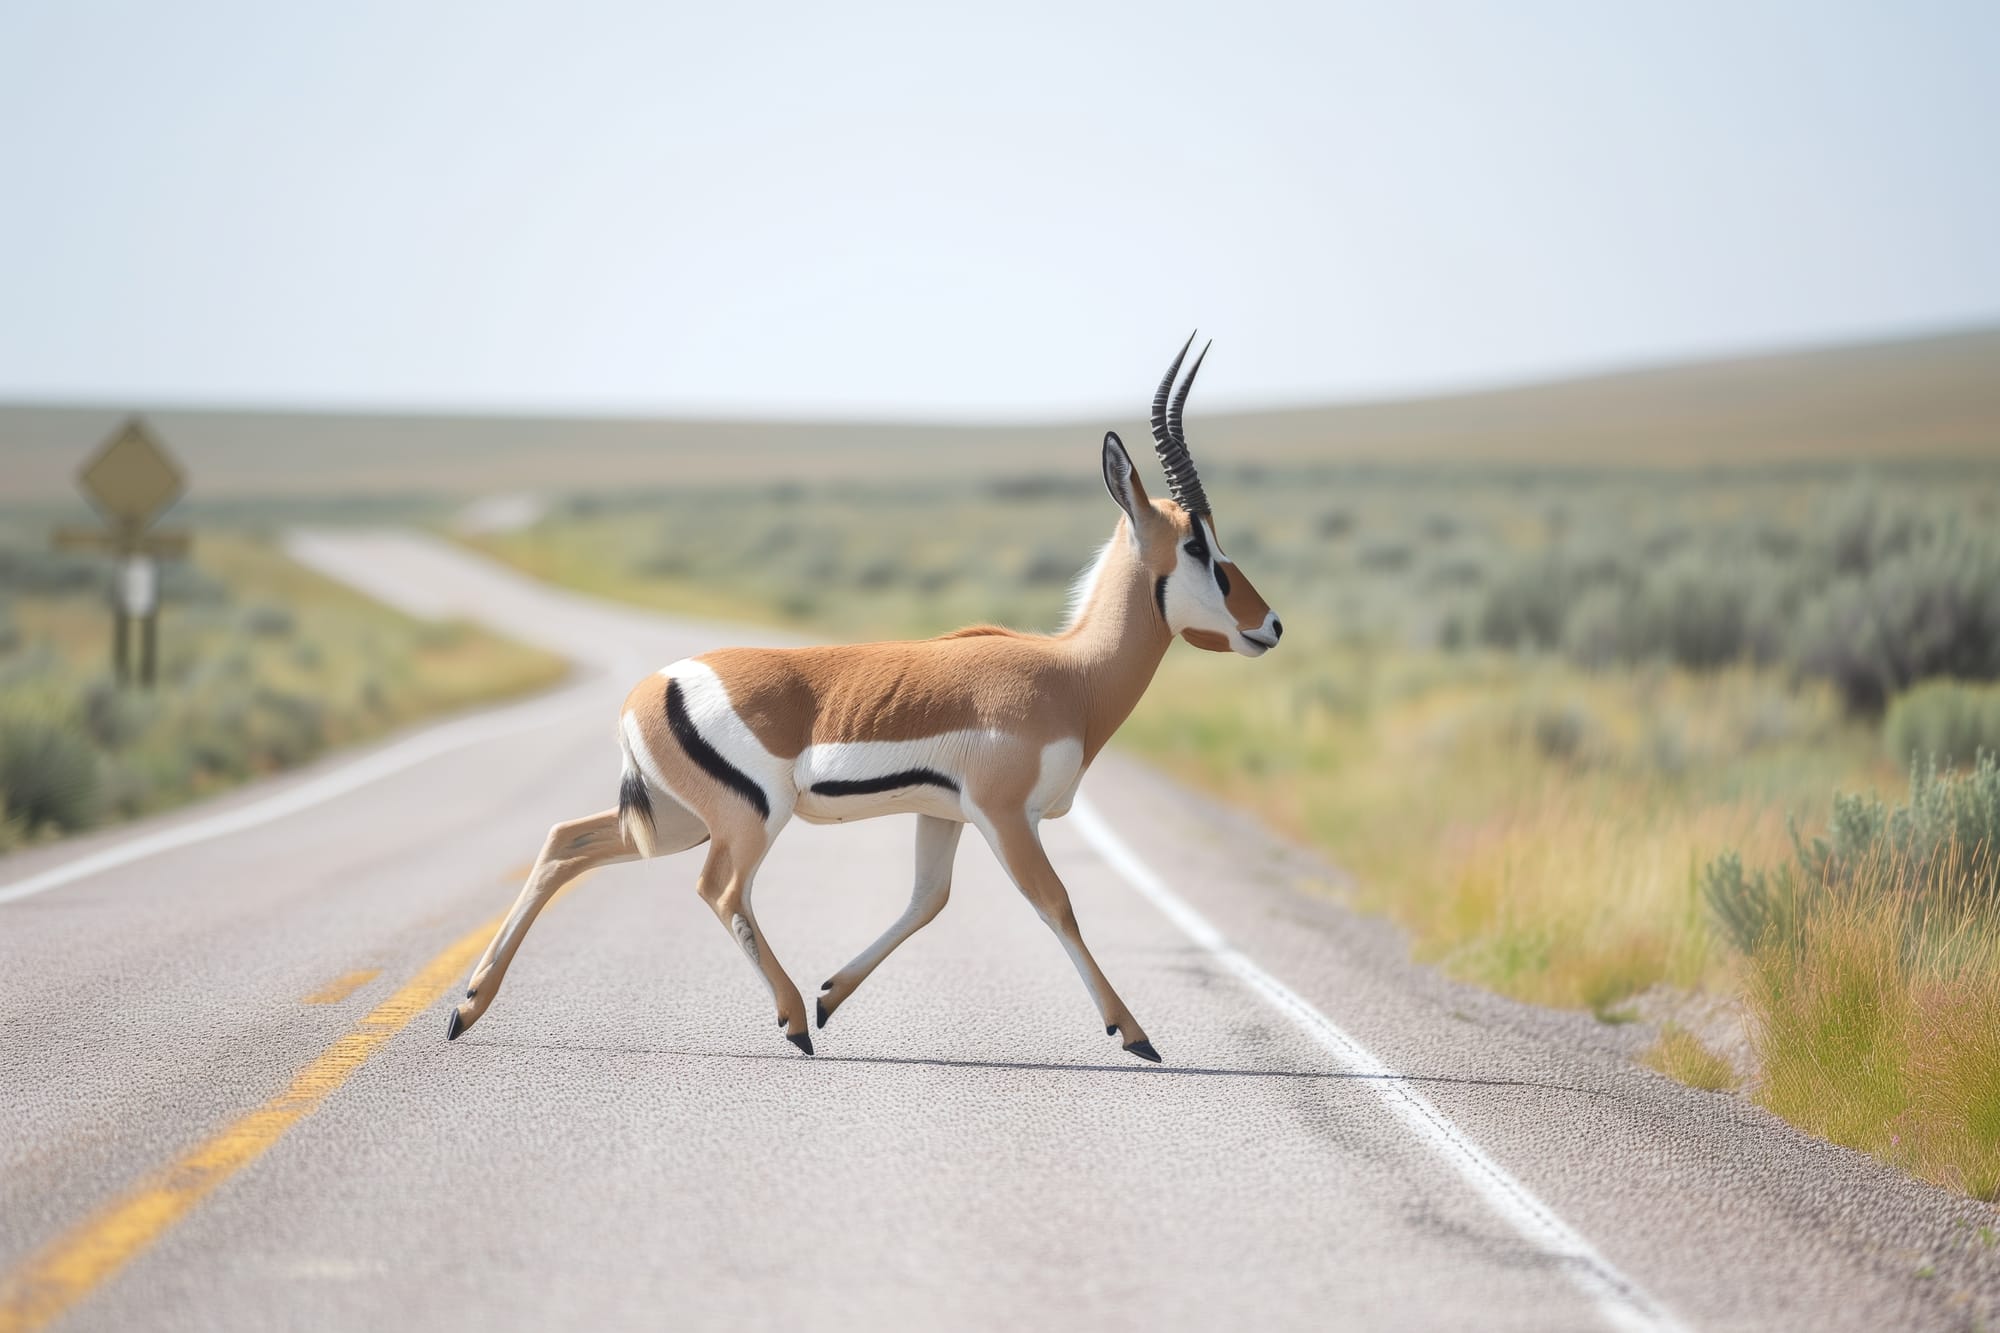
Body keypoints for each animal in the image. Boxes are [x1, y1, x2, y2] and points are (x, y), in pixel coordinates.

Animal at [444, 338, 1280, 1064]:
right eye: (1201, 547)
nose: (1268, 625)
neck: (1070, 673)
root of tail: (652, 686)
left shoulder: (945, 815)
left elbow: (927, 901)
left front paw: (830, 995)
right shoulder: (1007, 815)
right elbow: (1056, 902)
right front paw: (1136, 1034)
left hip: (677, 819)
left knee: (566, 842)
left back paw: (466, 1008)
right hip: (748, 820)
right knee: (719, 889)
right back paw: (789, 1024)